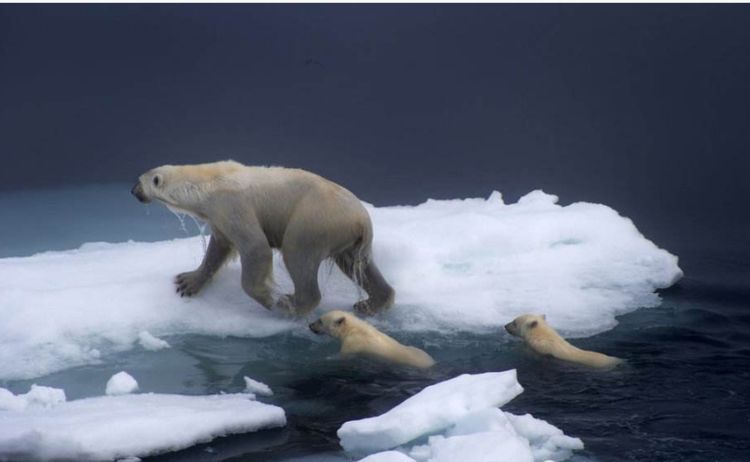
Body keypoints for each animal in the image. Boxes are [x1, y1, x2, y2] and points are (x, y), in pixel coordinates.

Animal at [132, 161, 396, 316]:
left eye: (139, 181)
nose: (133, 191)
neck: (207, 181)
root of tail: (362, 219)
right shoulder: (219, 217)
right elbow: (218, 247)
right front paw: (187, 282)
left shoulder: (232, 205)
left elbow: (254, 246)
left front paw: (268, 296)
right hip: (348, 236)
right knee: (356, 263)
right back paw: (372, 302)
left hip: (314, 220)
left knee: (297, 253)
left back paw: (290, 303)